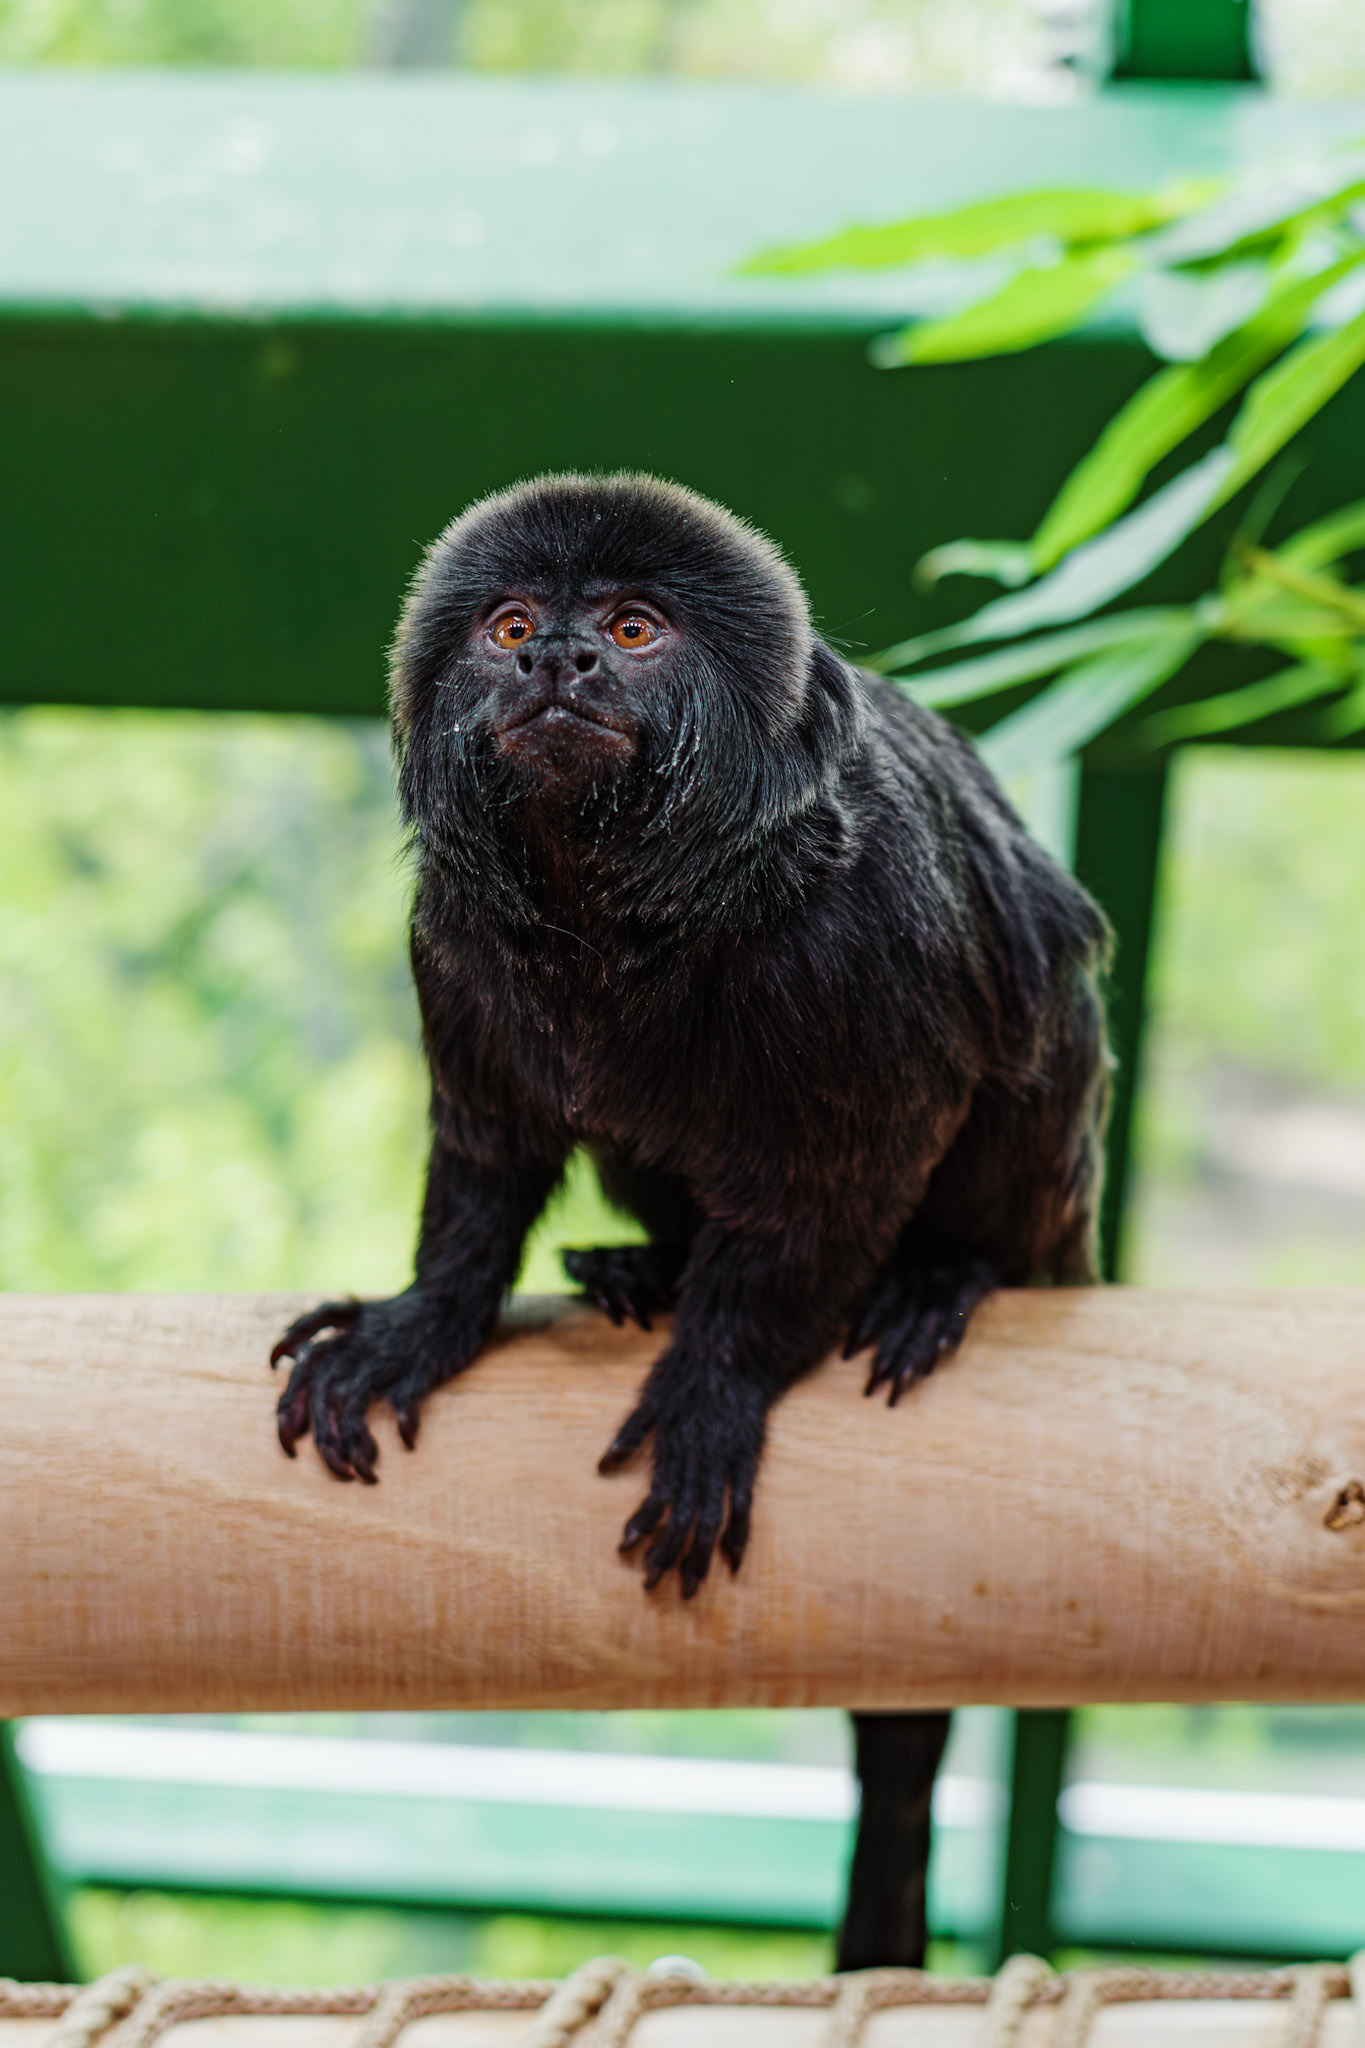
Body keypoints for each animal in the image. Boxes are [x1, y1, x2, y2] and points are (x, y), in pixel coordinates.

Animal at [270, 471, 1109, 1967]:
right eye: (509, 625)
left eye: (632, 628)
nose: (558, 662)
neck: (635, 918)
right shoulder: (456, 933)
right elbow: (487, 1159)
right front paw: (416, 1327)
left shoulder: (870, 934)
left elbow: (845, 1178)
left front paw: (716, 1382)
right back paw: (642, 1268)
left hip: (1056, 1186)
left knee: (1026, 1024)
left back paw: (941, 1279)